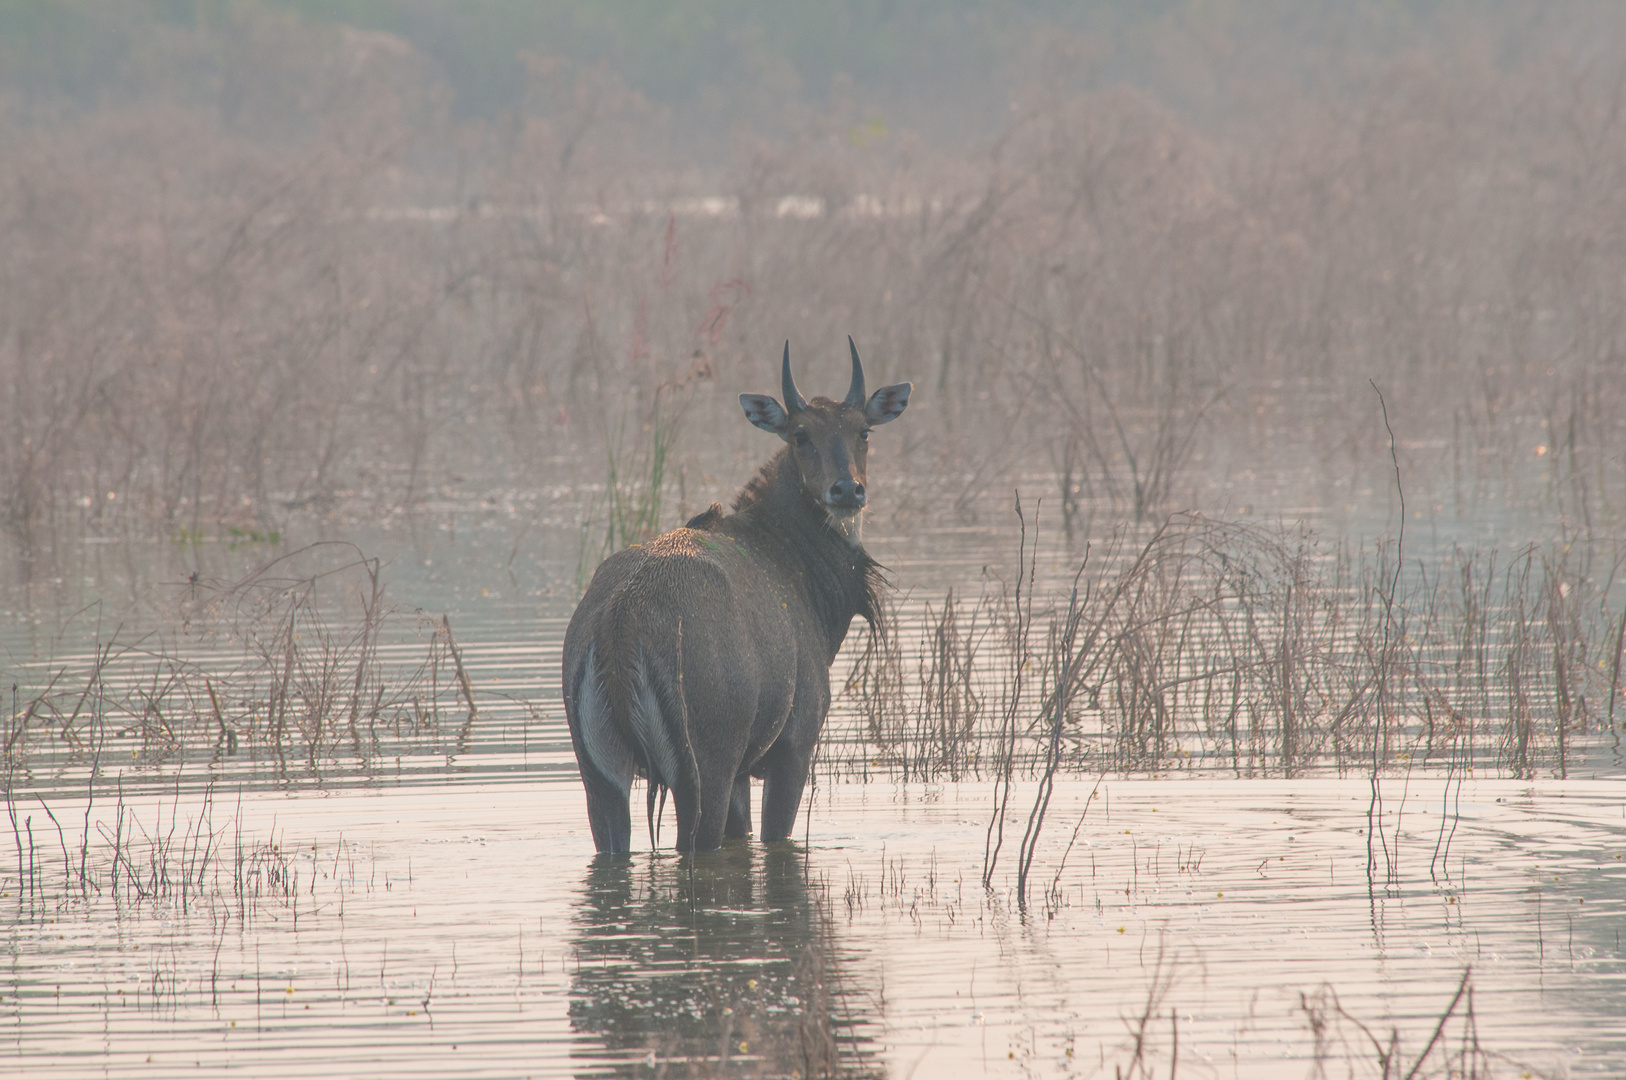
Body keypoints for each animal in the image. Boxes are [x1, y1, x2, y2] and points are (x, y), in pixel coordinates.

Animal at [565, 338, 910, 852]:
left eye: (863, 431)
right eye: (800, 434)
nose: (847, 489)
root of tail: (617, 624)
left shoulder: (744, 776)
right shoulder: (794, 747)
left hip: (601, 775)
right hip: (705, 766)